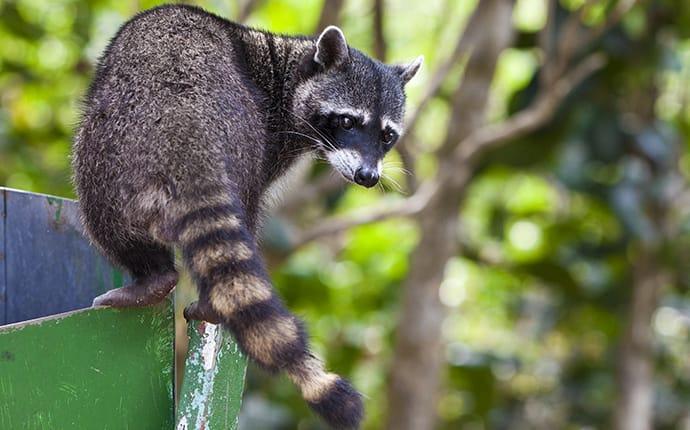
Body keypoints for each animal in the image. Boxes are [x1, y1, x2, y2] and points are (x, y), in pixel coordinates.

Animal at [72, 4, 422, 430]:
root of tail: (184, 125)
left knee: (100, 212)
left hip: (115, 149)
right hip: (219, 145)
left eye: (387, 135)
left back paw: (152, 277)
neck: (287, 67)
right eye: (347, 121)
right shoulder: (271, 130)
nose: (367, 177)